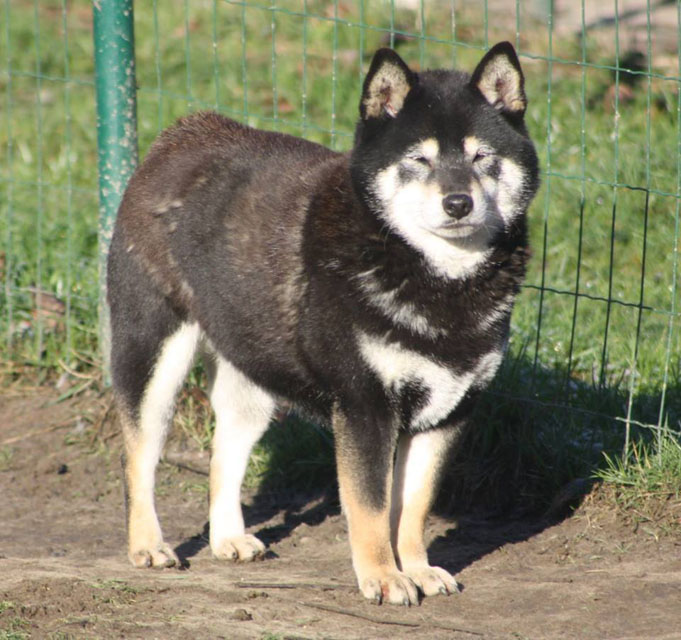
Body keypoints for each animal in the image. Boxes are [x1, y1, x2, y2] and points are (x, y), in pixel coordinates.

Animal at [107, 41, 539, 605]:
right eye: (418, 159)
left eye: (481, 157)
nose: (458, 202)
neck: (437, 280)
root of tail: (179, 133)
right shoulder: (363, 408)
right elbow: (371, 507)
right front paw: (384, 578)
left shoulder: (448, 411)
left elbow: (412, 507)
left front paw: (418, 569)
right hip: (153, 358)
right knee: (139, 458)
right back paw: (149, 546)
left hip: (253, 377)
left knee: (225, 456)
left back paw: (227, 538)